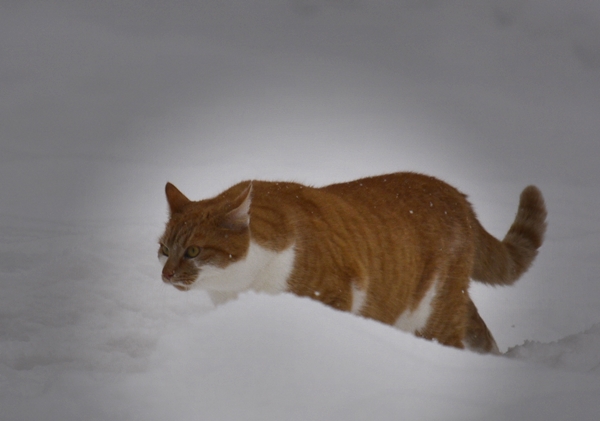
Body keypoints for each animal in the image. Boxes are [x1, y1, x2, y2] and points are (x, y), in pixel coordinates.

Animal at [157, 172, 548, 352]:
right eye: (162, 248)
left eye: (192, 251)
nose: (166, 274)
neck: (243, 284)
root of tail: (458, 196)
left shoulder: (333, 293)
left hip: (435, 311)